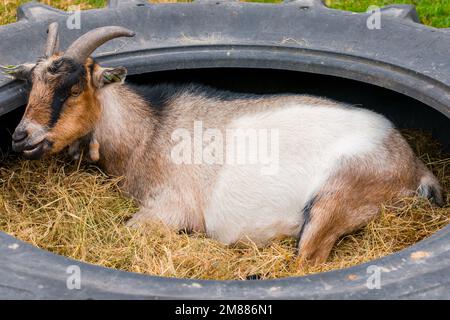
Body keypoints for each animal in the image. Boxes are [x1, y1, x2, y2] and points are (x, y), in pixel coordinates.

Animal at [4, 23, 442, 264]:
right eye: (32, 83)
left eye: (74, 87)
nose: (21, 137)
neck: (150, 128)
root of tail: (413, 165)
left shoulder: (171, 207)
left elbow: (124, 233)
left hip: (336, 198)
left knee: (309, 260)